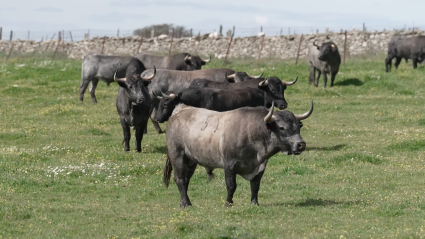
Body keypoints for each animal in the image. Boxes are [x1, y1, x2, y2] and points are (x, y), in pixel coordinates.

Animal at [161, 101, 312, 207]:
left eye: (298, 127)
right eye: (281, 127)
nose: (301, 144)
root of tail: (180, 109)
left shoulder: (260, 166)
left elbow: (255, 186)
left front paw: (254, 203)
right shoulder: (229, 165)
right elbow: (231, 186)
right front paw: (228, 203)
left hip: (191, 160)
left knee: (186, 180)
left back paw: (186, 201)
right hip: (178, 155)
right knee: (180, 179)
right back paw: (185, 204)